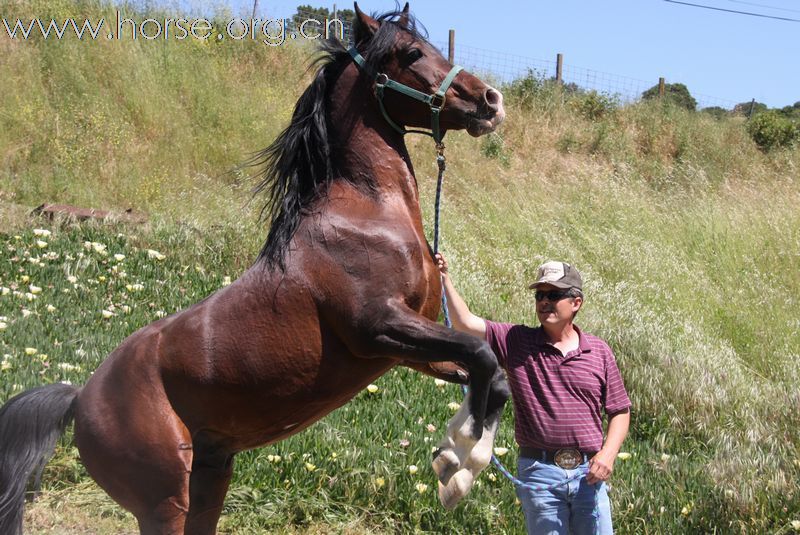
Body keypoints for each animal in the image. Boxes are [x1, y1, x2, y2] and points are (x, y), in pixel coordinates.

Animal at [0, 3, 510, 532]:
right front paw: (458, 465)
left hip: (210, 477)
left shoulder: (412, 349)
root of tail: (81, 398)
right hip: (165, 499)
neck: (367, 212)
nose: (490, 101)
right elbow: (483, 355)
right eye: (411, 53)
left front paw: (454, 460)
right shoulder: (378, 328)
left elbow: (492, 375)